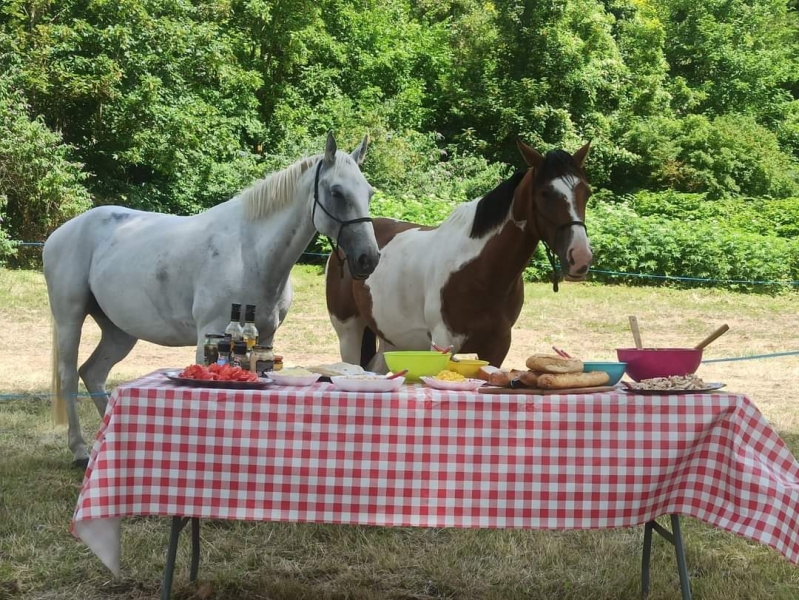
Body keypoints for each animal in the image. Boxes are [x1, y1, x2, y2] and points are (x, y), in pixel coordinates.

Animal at [44, 132, 382, 468]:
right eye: (337, 192)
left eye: (369, 192)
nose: (369, 258)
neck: (249, 252)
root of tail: (60, 233)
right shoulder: (209, 333)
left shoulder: (266, 337)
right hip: (70, 319)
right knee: (69, 376)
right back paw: (80, 450)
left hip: (119, 332)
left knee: (93, 374)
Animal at [326, 141, 592, 372]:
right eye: (545, 193)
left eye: (586, 192)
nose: (580, 258)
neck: (481, 272)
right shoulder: (444, 342)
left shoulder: (498, 345)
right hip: (349, 332)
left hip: (393, 340)